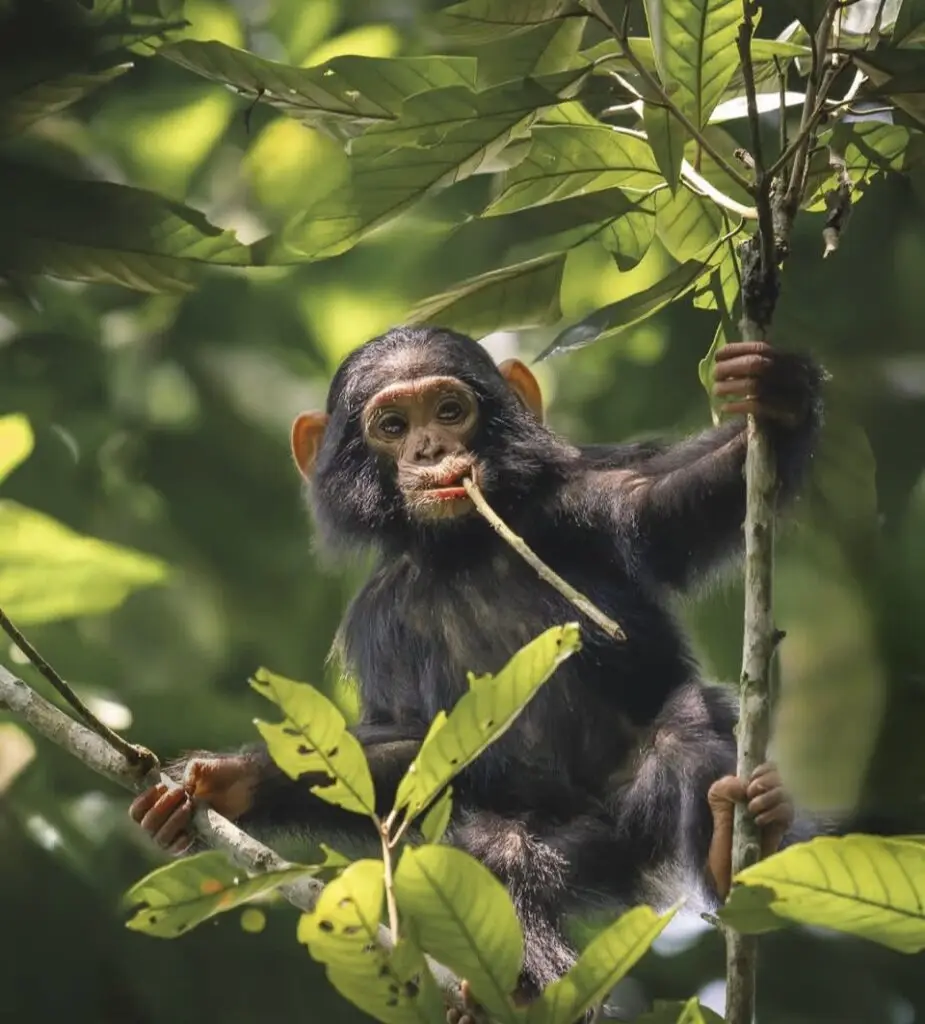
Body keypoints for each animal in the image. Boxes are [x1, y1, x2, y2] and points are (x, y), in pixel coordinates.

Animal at [130, 327, 821, 1014]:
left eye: (449, 410)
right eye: (392, 424)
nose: (431, 448)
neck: (460, 547)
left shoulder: (578, 497)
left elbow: (663, 501)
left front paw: (775, 392)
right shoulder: (381, 620)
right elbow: (408, 748)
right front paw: (225, 780)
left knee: (684, 732)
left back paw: (729, 845)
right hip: (571, 839)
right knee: (501, 854)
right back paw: (520, 984)